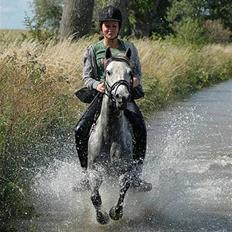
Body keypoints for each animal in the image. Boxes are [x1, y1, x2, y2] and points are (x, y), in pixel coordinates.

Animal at [88, 47, 137, 225]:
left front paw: (115, 212)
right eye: (108, 72)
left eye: (130, 72)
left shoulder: (125, 169)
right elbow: (95, 196)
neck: (109, 135)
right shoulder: (94, 170)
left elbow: (123, 189)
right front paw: (101, 217)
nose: (122, 97)